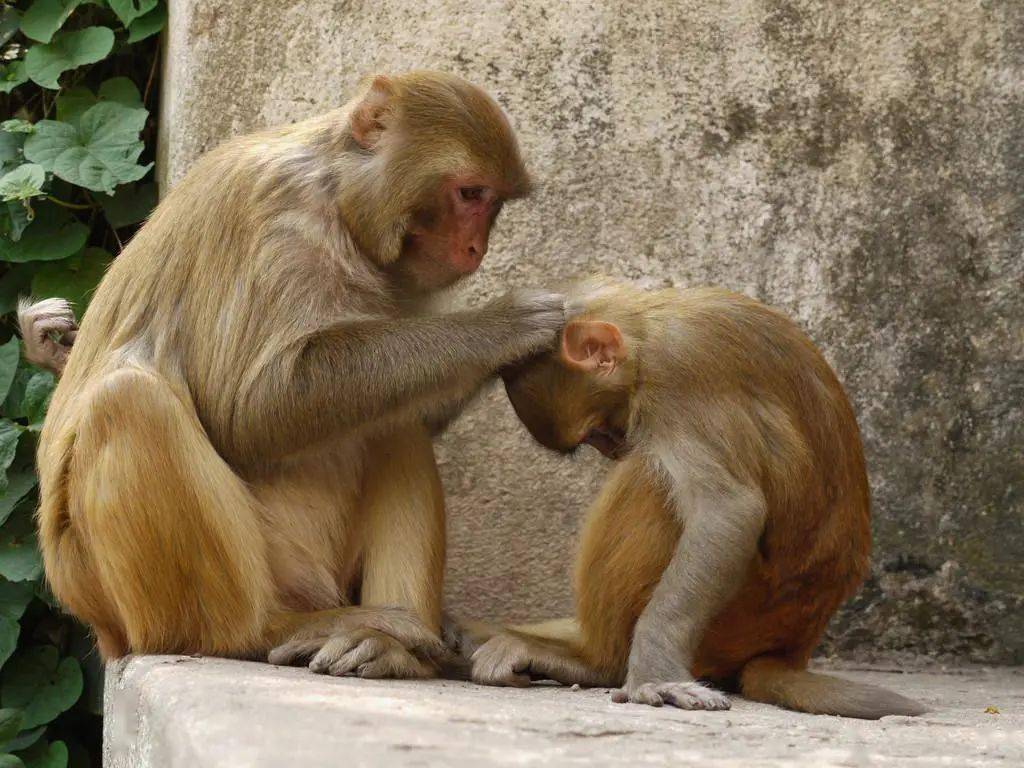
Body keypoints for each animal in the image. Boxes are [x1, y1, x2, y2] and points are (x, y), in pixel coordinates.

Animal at [22, 73, 569, 679]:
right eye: (470, 193)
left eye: (493, 201)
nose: (476, 250)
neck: (338, 200)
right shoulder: (277, 211)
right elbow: (250, 408)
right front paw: (506, 326)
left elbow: (414, 409)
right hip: (135, 586)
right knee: (129, 401)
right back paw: (261, 632)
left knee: (391, 423)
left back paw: (393, 650)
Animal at [456, 280, 929, 720]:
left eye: (598, 431)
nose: (613, 448)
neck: (650, 328)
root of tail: (794, 643)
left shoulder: (678, 377)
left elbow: (728, 509)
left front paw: (655, 674)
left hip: (738, 621)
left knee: (649, 477)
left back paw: (594, 661)